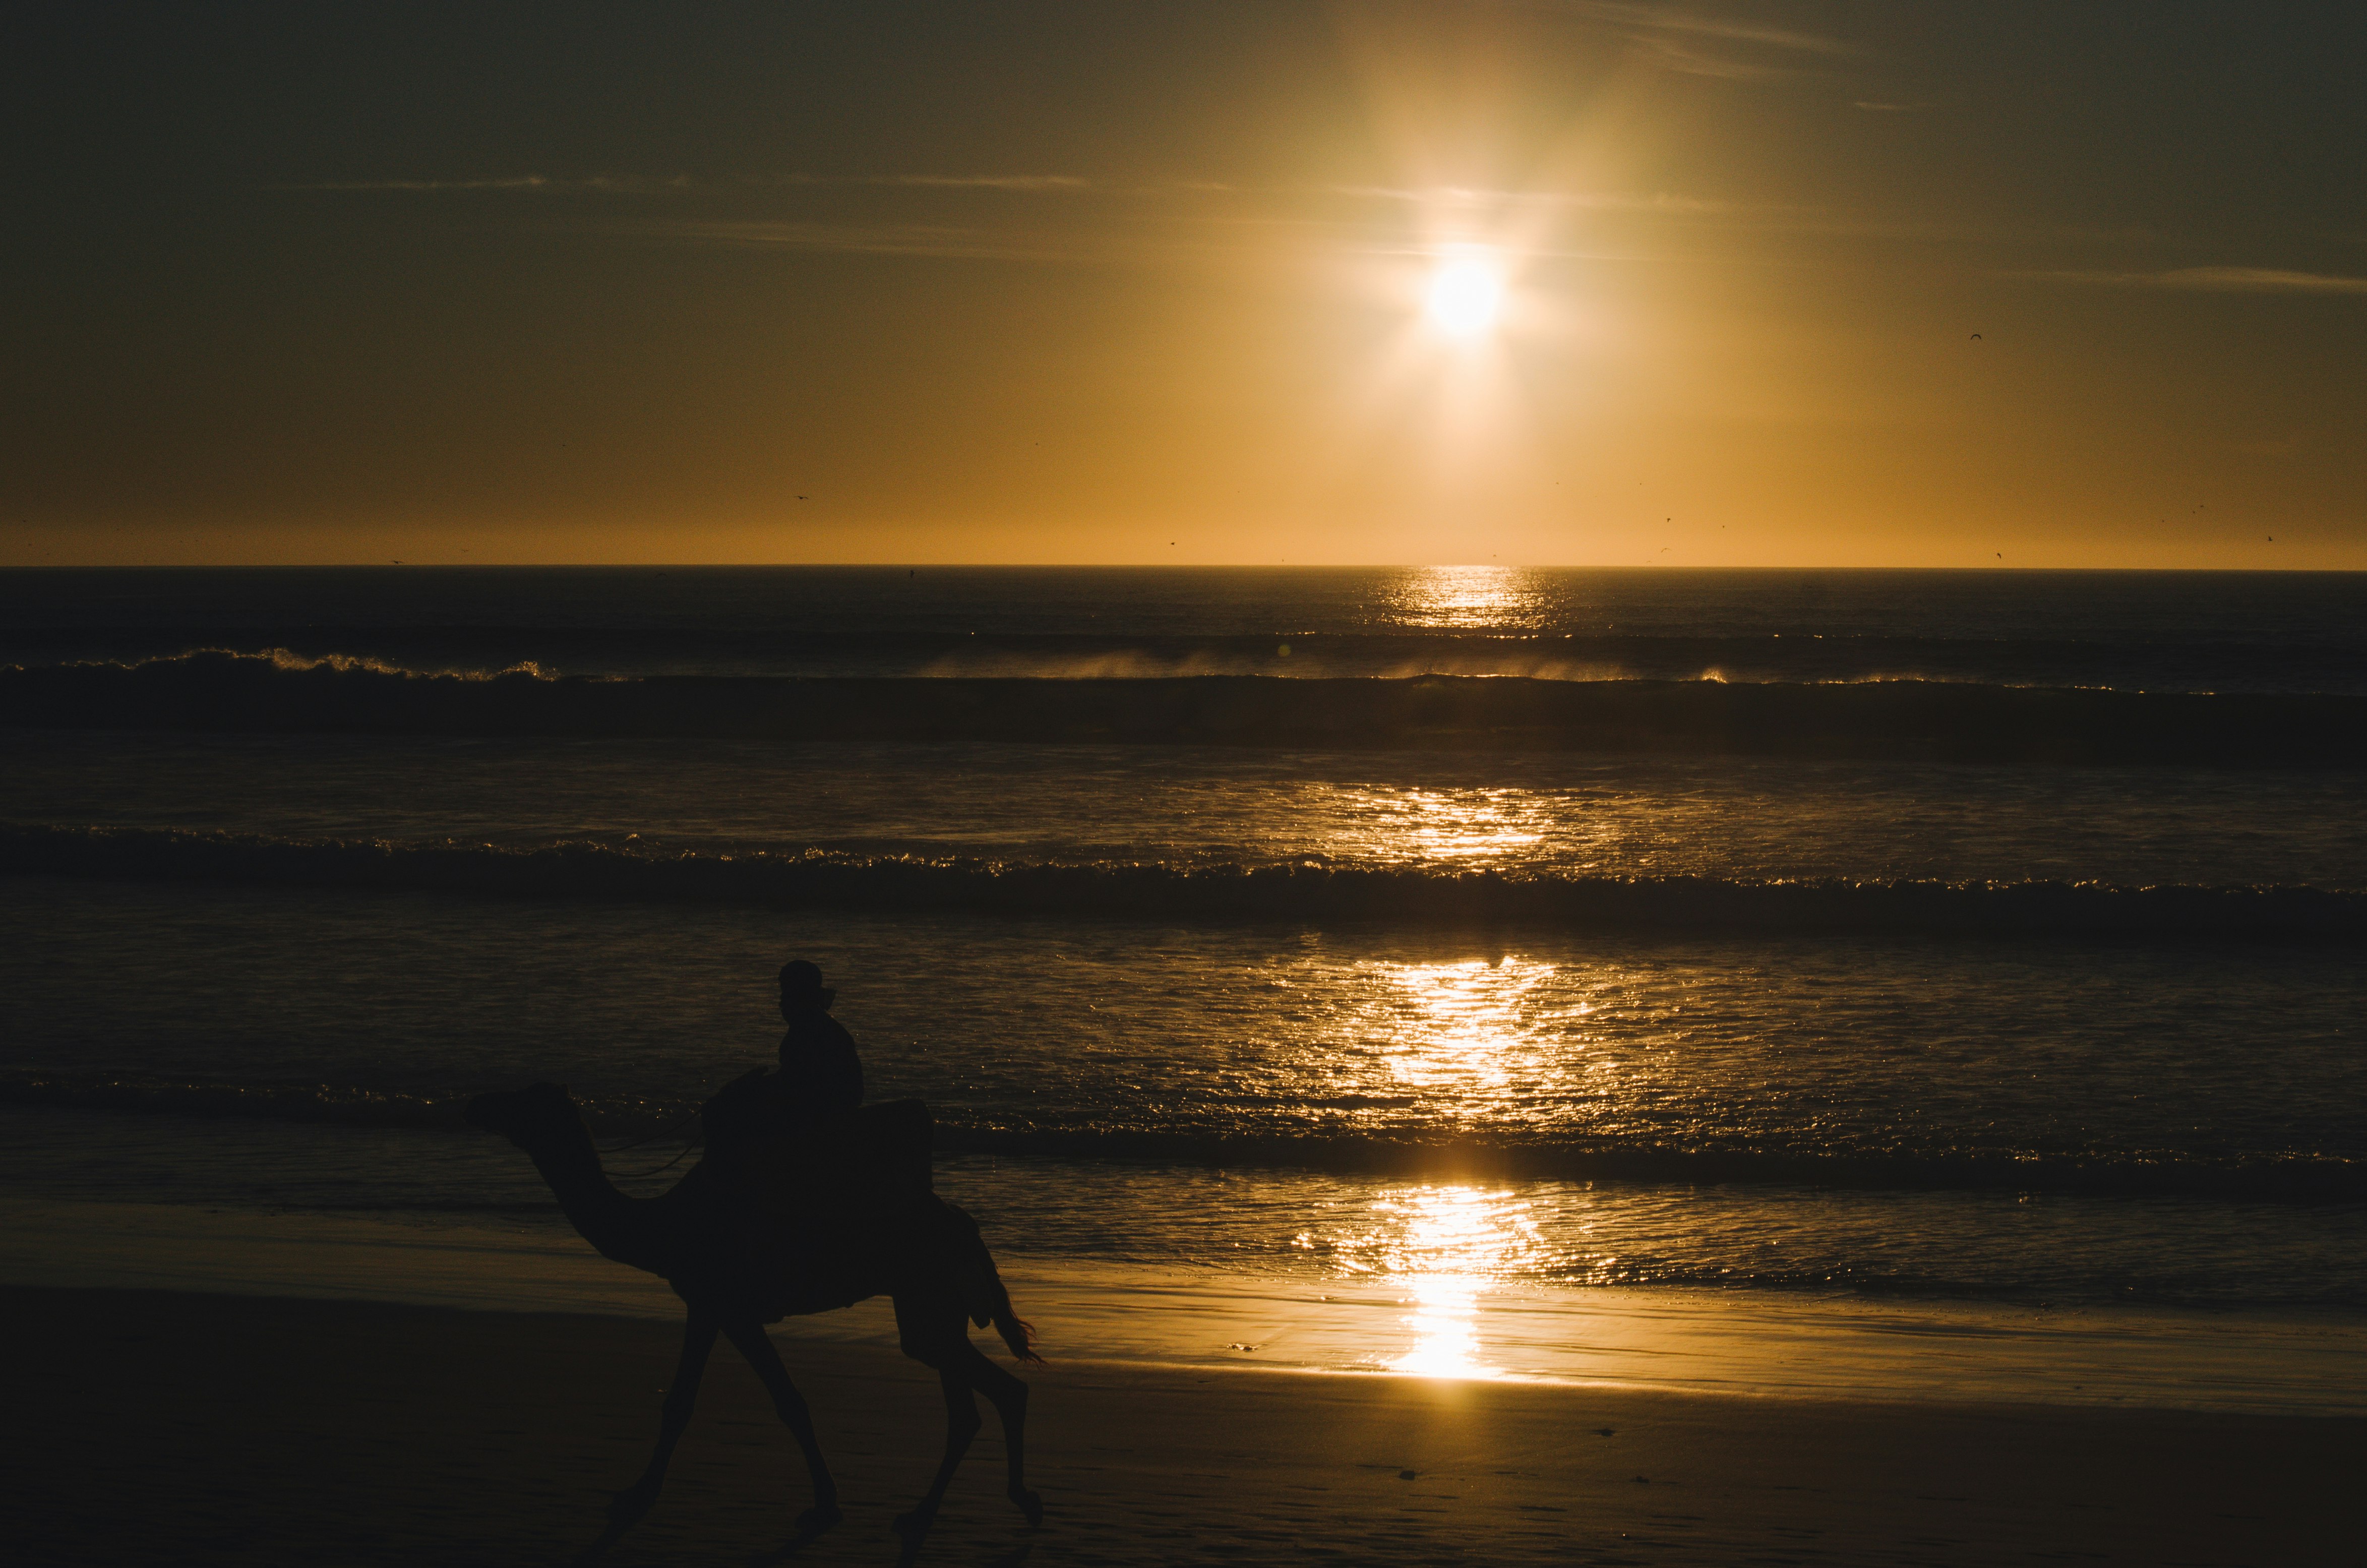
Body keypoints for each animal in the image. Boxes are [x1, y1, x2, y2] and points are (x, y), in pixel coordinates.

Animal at [466, 1090, 1041, 1563]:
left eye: (522, 1099)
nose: (478, 1102)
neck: (662, 1228)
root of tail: (964, 1224)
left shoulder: (718, 1304)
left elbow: (694, 1402)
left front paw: (636, 1493)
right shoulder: (724, 1309)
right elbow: (782, 1402)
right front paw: (824, 1502)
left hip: (928, 1303)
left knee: (984, 1393)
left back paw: (981, 1504)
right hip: (933, 1309)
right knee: (976, 1400)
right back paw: (954, 1508)